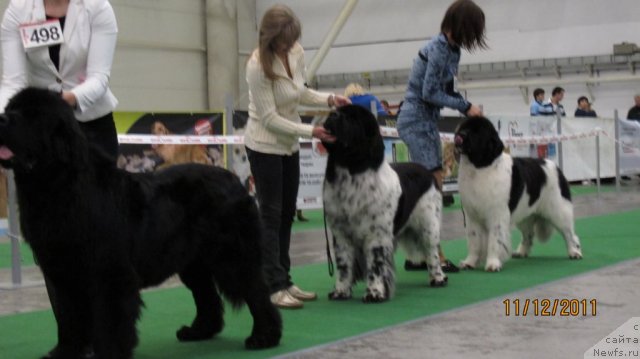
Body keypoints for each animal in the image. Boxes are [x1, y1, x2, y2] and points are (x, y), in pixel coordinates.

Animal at [0, 88, 280, 359]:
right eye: (10, 108)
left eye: (32, 115)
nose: (2, 118)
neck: (58, 185)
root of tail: (236, 182)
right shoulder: (63, 273)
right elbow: (69, 318)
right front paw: (65, 352)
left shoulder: (110, 273)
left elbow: (110, 321)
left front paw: (110, 353)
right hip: (193, 261)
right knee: (206, 294)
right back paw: (199, 331)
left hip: (232, 256)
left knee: (255, 290)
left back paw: (264, 337)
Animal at [322, 105, 448, 304]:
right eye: (336, 111)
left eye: (352, 118)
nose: (332, 114)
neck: (351, 170)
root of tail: (426, 171)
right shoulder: (341, 234)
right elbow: (344, 265)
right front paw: (340, 291)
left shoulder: (377, 234)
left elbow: (375, 264)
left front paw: (374, 293)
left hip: (429, 225)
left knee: (432, 252)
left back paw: (438, 278)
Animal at [452, 116, 584, 272]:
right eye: (463, 127)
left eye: (477, 131)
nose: (460, 135)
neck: (480, 167)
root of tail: (555, 166)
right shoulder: (472, 215)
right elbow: (474, 240)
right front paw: (470, 262)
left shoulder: (497, 214)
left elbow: (494, 240)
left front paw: (493, 263)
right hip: (525, 215)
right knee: (528, 235)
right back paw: (521, 252)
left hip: (558, 210)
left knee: (569, 233)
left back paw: (575, 252)